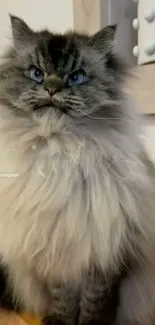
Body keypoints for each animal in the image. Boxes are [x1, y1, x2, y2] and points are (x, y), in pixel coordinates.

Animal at [0, 14, 155, 324]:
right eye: (36, 73)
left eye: (76, 77)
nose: (52, 88)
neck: (61, 155)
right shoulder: (57, 253)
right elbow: (63, 300)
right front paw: (59, 321)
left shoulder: (105, 257)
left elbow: (95, 303)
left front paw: (91, 323)